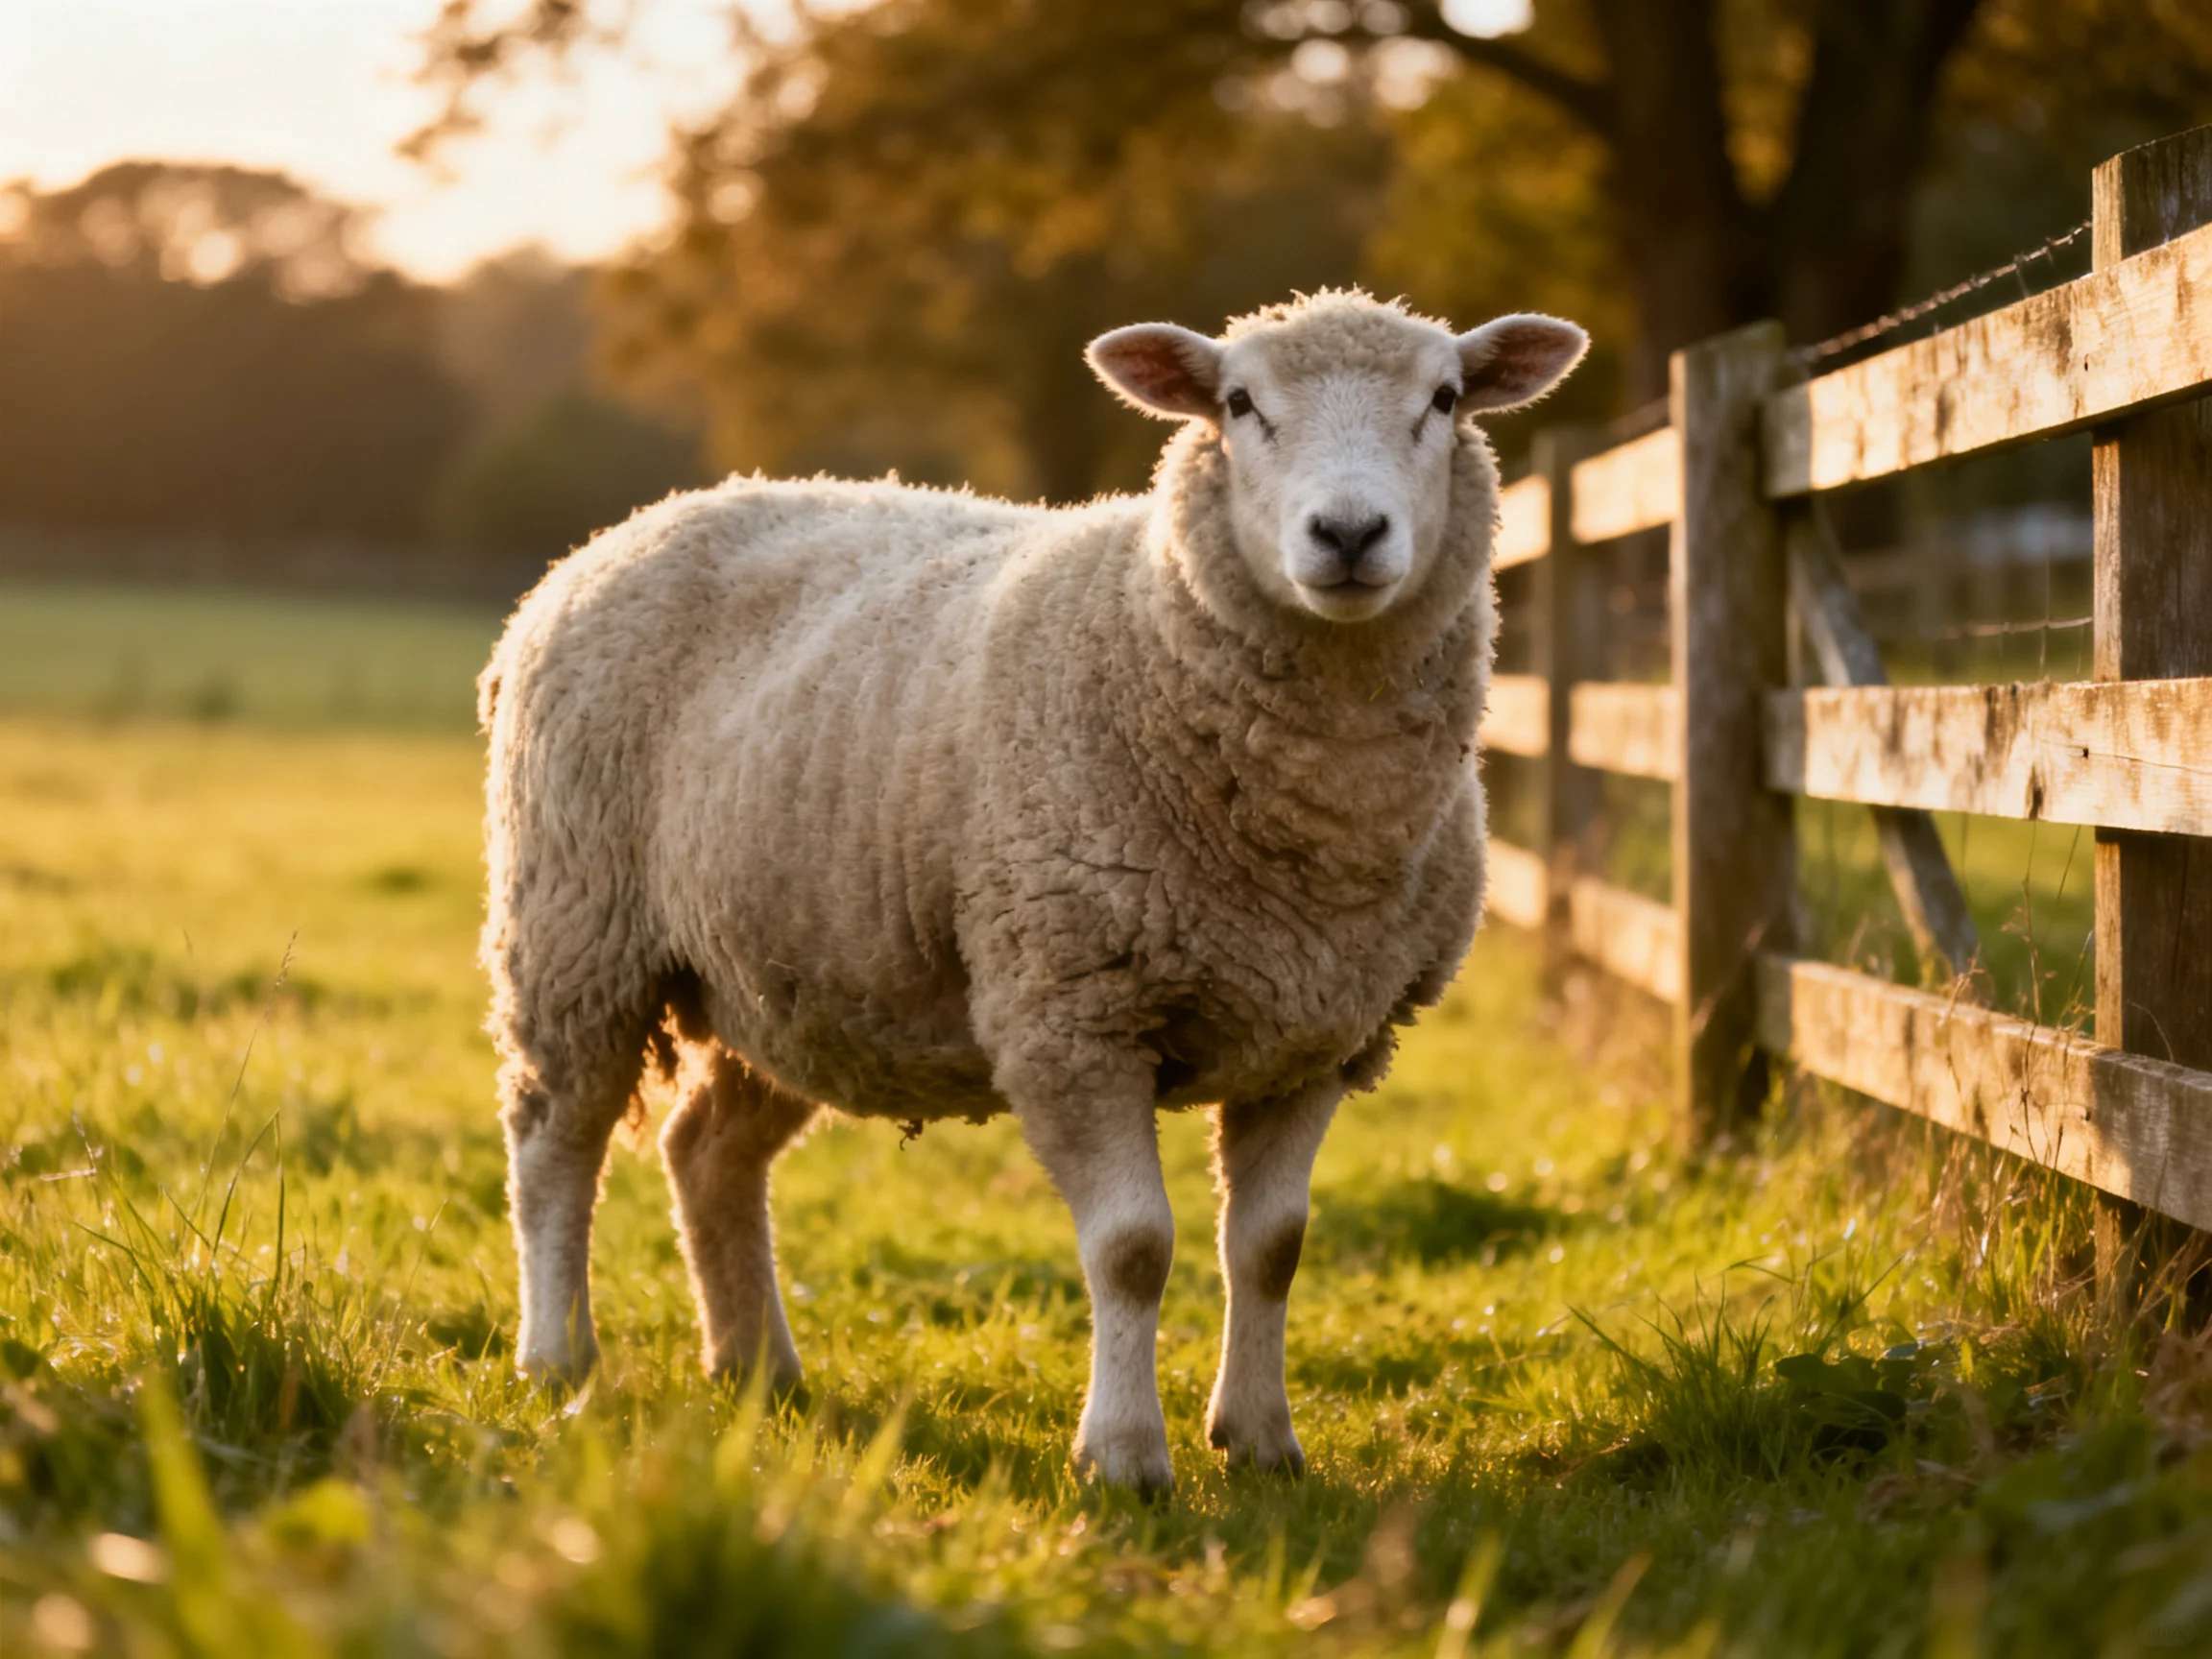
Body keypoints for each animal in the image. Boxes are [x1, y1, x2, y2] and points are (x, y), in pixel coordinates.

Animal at [478, 289, 1586, 1492]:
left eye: (1446, 400)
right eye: (1240, 403)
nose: (1346, 535)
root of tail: (616, 535)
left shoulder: (1317, 1034)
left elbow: (1271, 1248)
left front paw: (1258, 1440)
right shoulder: (1069, 1013)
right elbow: (1134, 1248)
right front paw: (1125, 1457)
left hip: (791, 974)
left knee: (707, 1152)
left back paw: (756, 1368)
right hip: (576, 929)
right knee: (553, 1143)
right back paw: (558, 1358)